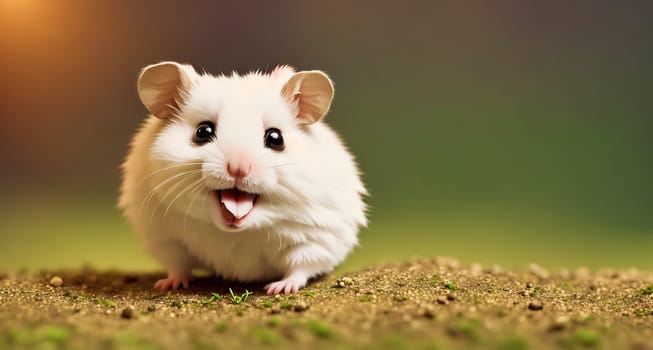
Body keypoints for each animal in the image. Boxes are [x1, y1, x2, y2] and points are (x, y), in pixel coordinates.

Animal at [118, 61, 366, 294]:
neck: (237, 231)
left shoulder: (318, 239)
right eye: (203, 132)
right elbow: (177, 265)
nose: (238, 169)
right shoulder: (165, 238)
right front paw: (168, 285)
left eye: (276, 138)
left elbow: (301, 267)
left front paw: (278, 289)